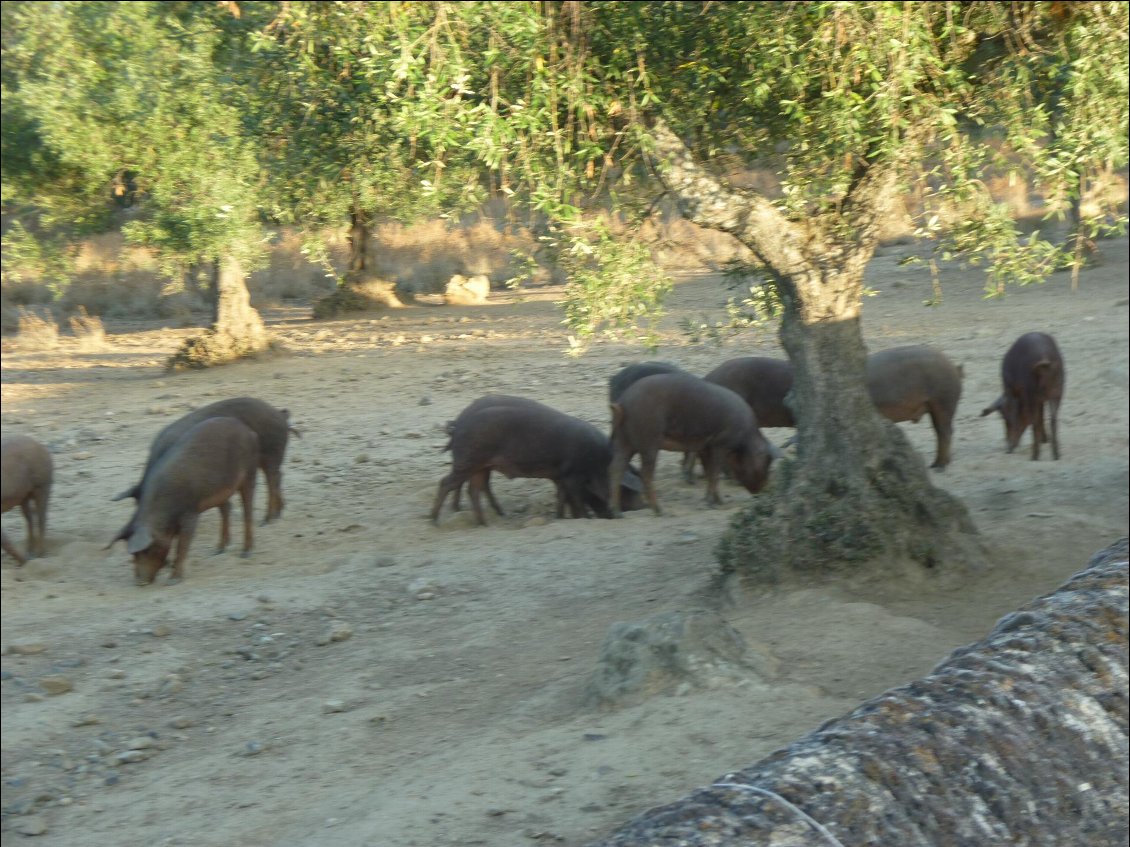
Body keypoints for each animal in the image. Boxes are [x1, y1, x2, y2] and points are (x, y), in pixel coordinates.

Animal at [108, 415, 258, 587]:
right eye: (133, 554)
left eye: (146, 550)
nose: (140, 583)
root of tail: (248, 431)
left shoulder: (190, 513)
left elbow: (183, 545)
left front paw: (172, 581)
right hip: (221, 490)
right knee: (227, 507)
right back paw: (218, 550)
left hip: (250, 473)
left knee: (248, 509)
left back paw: (245, 553)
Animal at [115, 397, 296, 524]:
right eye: (137, 502)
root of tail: (281, 414)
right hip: (266, 459)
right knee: (278, 476)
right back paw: (278, 513)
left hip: (272, 452)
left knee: (272, 480)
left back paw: (267, 520)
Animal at [610, 372, 777, 517]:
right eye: (766, 463)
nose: (764, 490)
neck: (746, 438)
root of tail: (623, 402)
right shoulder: (720, 444)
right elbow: (715, 473)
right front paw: (712, 503)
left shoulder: (704, 447)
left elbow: (710, 473)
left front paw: (718, 502)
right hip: (649, 442)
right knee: (645, 474)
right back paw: (660, 511)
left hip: (623, 441)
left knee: (616, 469)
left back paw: (617, 513)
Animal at [985, 334, 1062, 465]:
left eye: (1004, 416)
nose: (1007, 449)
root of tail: (1044, 357)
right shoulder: (1041, 400)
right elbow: (1041, 417)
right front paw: (1045, 440)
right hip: (1057, 392)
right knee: (1053, 420)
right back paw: (1056, 456)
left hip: (1033, 393)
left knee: (1036, 420)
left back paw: (1034, 457)